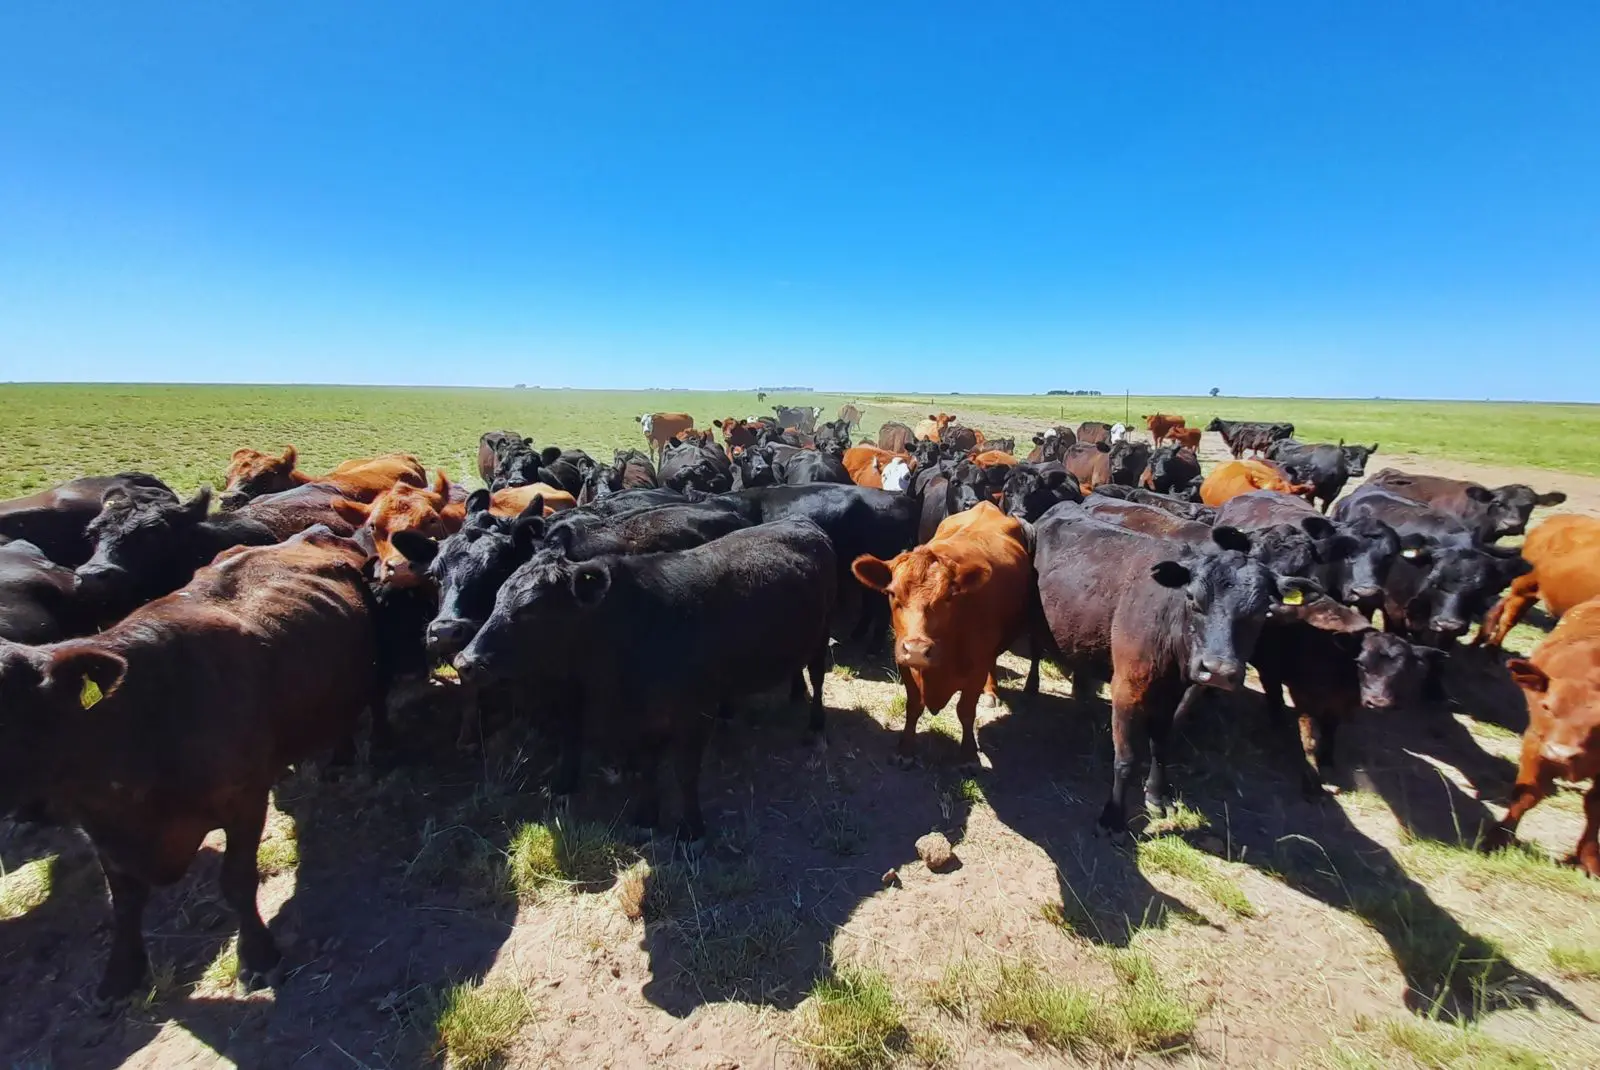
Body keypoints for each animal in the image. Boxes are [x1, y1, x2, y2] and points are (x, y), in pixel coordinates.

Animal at [0, 534, 384, 1004]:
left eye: (5, 706)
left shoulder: (244, 799)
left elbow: (236, 881)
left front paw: (258, 956)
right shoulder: (100, 830)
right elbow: (123, 901)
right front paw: (120, 975)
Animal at [454, 518, 838, 844]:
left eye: (531, 608)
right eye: (498, 596)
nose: (464, 662)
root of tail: (802, 522)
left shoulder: (696, 711)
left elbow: (685, 771)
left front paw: (691, 829)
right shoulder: (635, 717)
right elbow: (645, 767)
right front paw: (646, 818)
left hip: (821, 637)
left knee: (818, 678)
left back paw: (815, 726)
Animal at [1491, 598, 1600, 870]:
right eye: (1547, 707)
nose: (1560, 754)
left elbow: (1595, 806)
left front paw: (1589, 859)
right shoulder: (1534, 745)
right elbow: (1526, 795)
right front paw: (1496, 838)